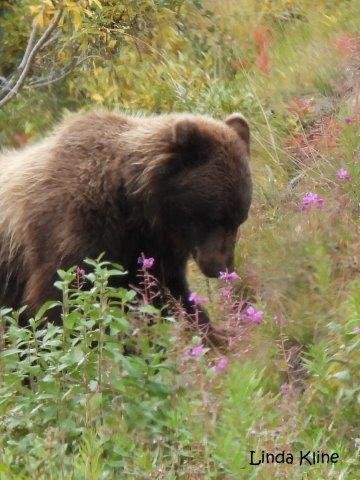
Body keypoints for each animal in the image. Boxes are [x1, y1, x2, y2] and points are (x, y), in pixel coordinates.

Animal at [0, 111, 250, 338]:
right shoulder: (68, 233)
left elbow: (165, 290)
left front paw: (215, 334)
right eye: (215, 217)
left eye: (239, 219)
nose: (223, 268)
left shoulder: (150, 247)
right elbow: (61, 301)